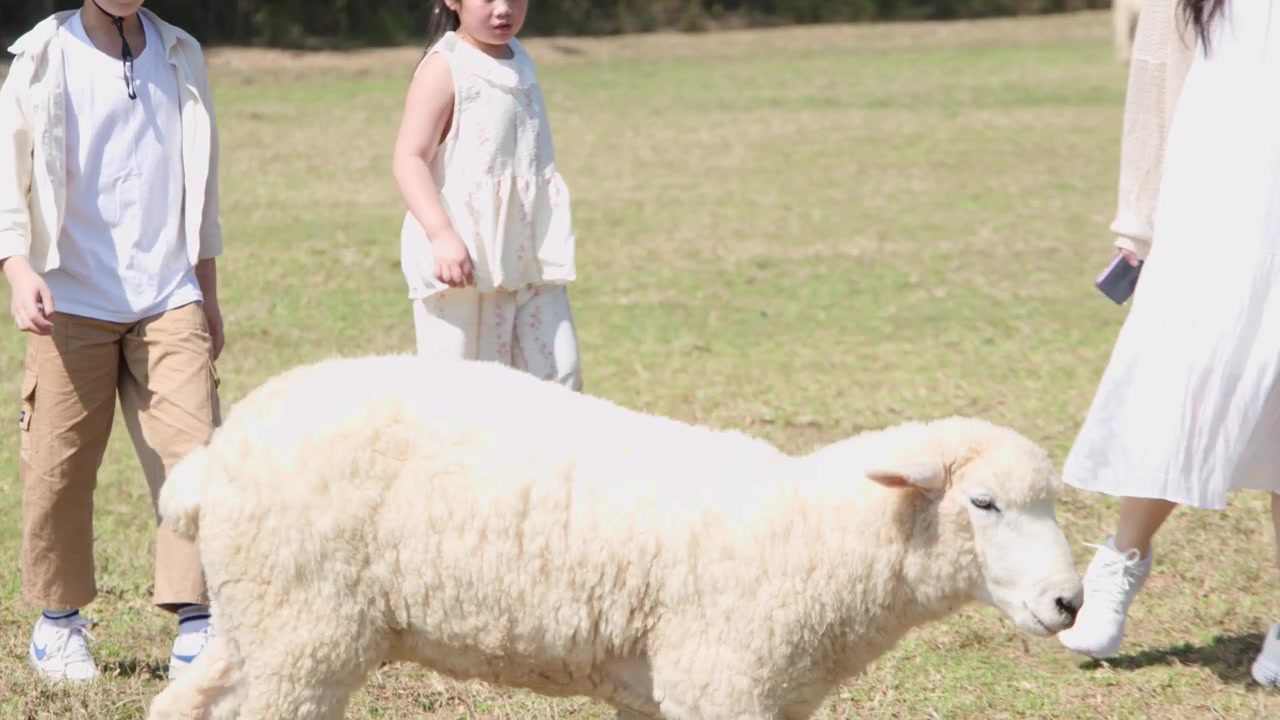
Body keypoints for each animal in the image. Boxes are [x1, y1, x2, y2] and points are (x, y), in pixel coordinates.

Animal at [145, 354, 1083, 720]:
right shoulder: (722, 684)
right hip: (306, 630)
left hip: (263, 620)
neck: (807, 531)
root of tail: (215, 457)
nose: (1070, 602)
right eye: (985, 504)